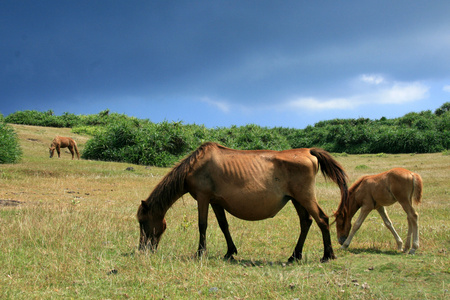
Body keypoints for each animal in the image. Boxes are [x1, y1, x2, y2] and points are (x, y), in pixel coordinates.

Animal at [134, 143, 348, 262]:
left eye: (142, 222)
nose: (142, 249)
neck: (195, 166)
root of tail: (308, 151)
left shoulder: (203, 198)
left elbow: (202, 225)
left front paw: (200, 252)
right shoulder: (215, 202)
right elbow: (223, 225)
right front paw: (230, 252)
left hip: (305, 197)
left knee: (322, 219)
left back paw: (327, 255)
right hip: (296, 199)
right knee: (306, 222)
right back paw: (295, 255)